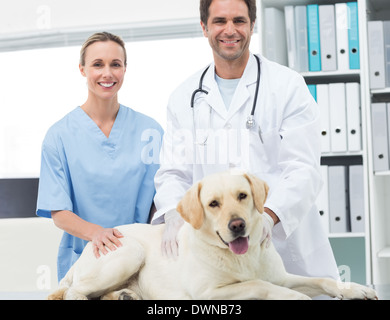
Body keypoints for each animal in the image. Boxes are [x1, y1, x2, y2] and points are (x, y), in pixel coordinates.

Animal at [47, 172, 376, 300]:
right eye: (213, 204)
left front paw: (355, 288)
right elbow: (259, 284)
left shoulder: (281, 277)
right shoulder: (209, 292)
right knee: (74, 292)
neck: (243, 257)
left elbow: (319, 280)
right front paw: (295, 297)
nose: (237, 225)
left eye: (242, 195)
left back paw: (125, 295)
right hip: (129, 252)